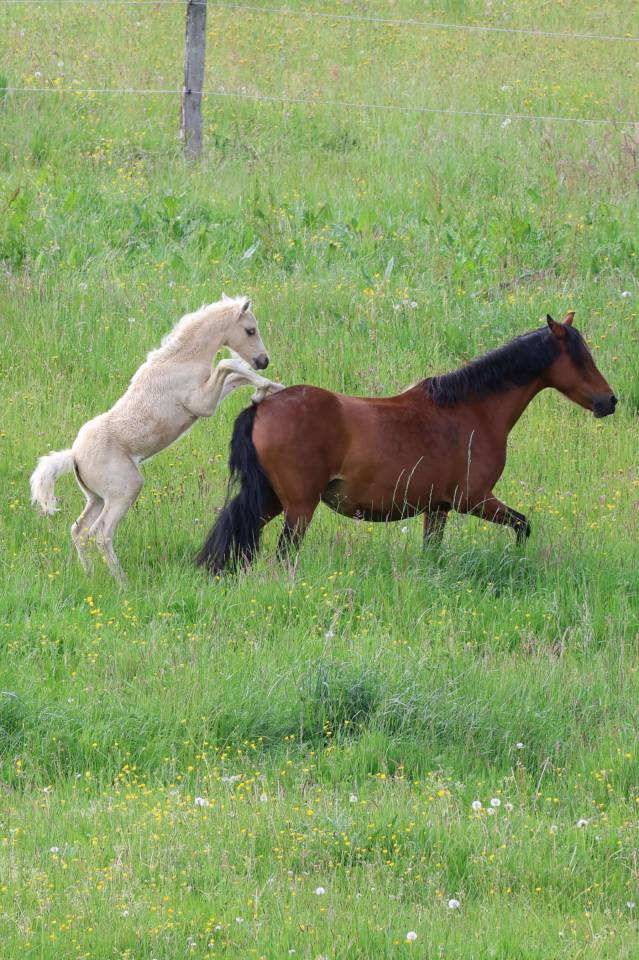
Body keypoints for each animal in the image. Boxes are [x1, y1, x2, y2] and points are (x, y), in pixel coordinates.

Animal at [30, 295, 284, 582]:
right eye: (250, 330)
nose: (263, 360)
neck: (180, 361)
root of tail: (74, 455)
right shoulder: (202, 404)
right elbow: (228, 366)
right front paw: (263, 387)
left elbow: (235, 377)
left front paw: (271, 387)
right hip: (124, 492)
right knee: (101, 534)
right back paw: (122, 582)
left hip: (96, 498)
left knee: (79, 531)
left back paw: (90, 575)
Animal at [196, 312, 617, 573]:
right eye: (581, 358)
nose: (609, 401)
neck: (472, 408)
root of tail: (262, 406)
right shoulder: (474, 500)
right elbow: (523, 526)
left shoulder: (438, 509)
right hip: (298, 507)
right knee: (284, 554)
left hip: (270, 499)